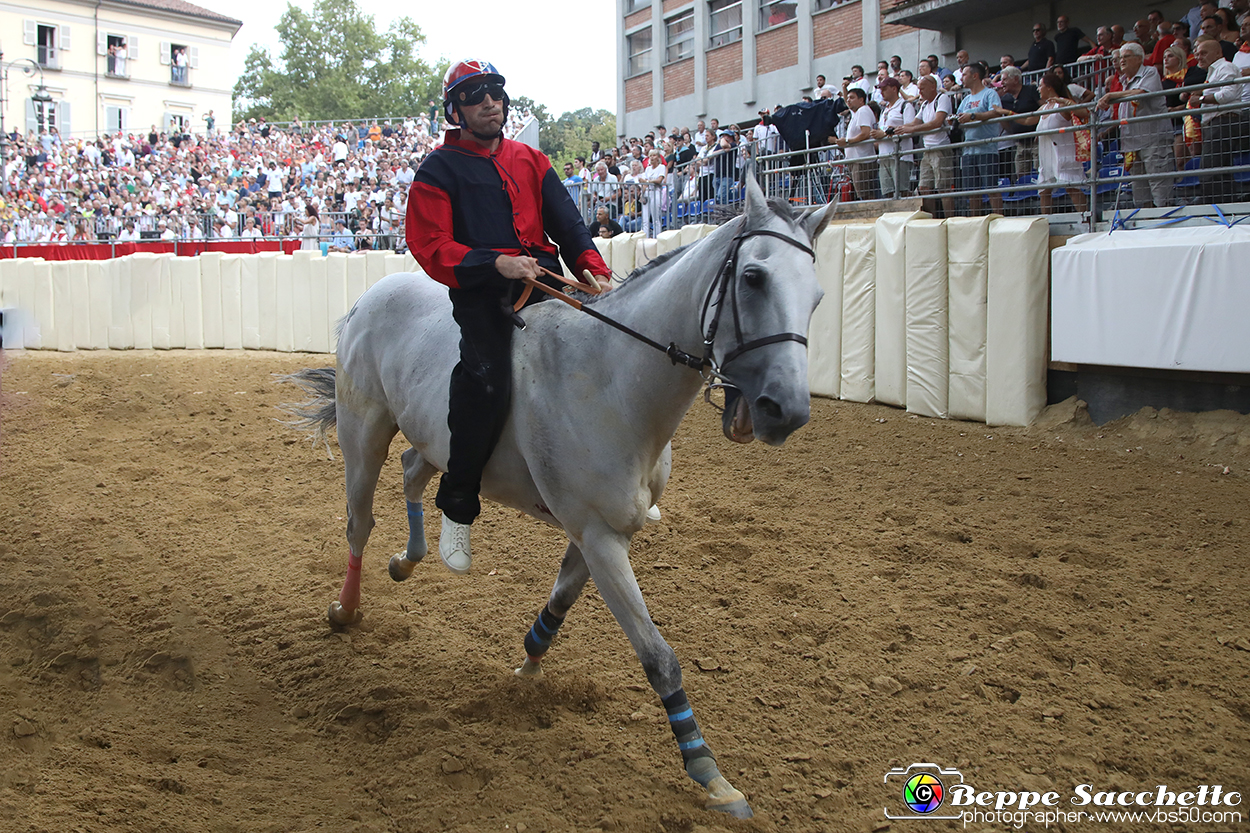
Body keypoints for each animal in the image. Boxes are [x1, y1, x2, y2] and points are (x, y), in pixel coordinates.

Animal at [282, 175, 830, 815]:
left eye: (817, 295)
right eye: (754, 277)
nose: (784, 411)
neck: (611, 377)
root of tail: (373, 294)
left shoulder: (602, 534)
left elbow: (561, 603)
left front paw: (527, 667)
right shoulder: (599, 536)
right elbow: (659, 657)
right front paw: (708, 773)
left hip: (434, 440)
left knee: (416, 472)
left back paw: (413, 558)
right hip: (363, 433)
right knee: (359, 523)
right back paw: (347, 609)